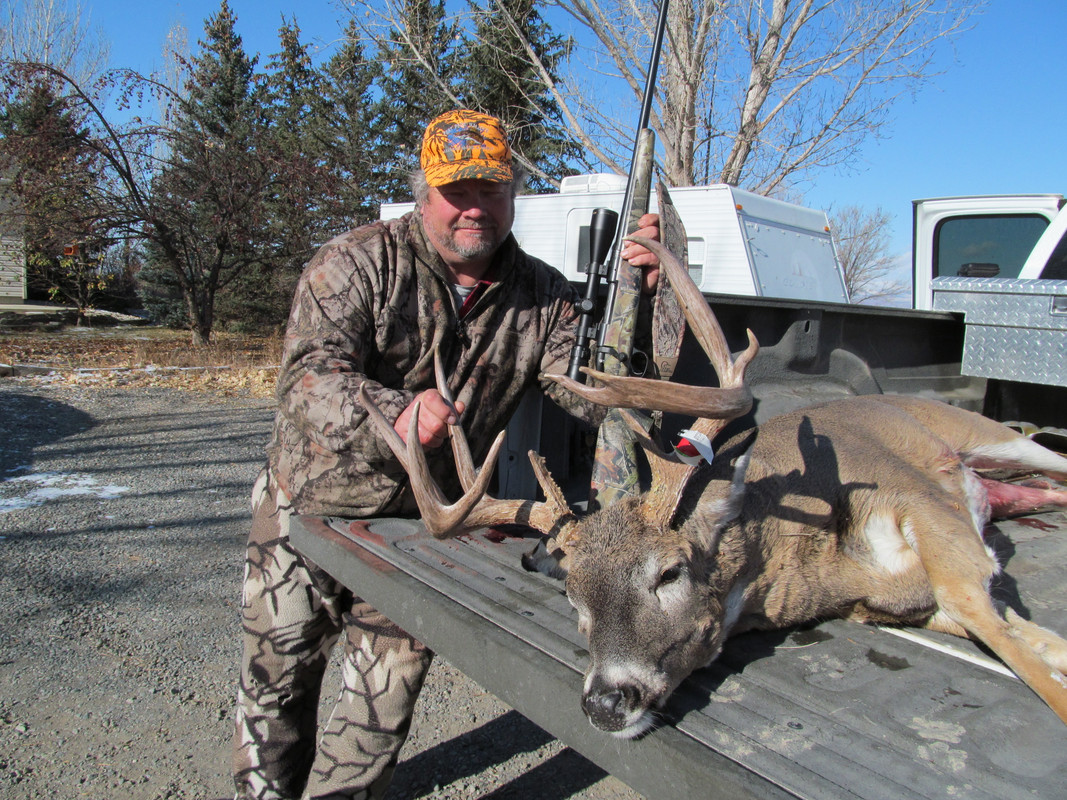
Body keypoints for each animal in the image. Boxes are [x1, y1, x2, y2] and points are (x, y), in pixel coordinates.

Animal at [357, 235, 1067, 740]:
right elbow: (1025, 638)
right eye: (574, 597)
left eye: (669, 573)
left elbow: (1002, 628)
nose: (606, 702)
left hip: (992, 437)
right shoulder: (913, 602)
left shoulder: (921, 506)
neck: (826, 572)